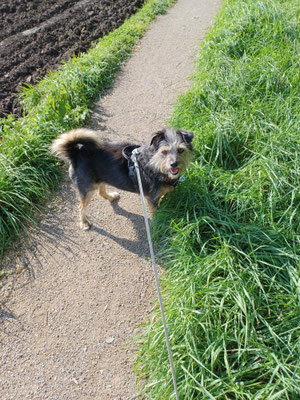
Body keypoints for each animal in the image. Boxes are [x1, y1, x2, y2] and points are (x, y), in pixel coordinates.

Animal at [50, 126, 193, 230]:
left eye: (180, 150)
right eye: (164, 152)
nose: (174, 164)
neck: (155, 164)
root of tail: (75, 153)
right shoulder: (151, 198)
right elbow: (156, 212)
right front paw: (158, 221)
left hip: (102, 177)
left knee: (101, 192)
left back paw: (111, 197)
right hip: (87, 188)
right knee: (81, 207)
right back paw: (84, 223)